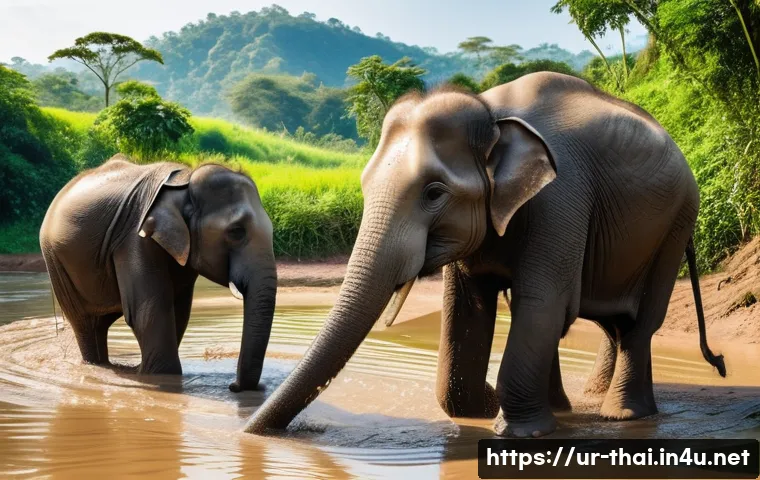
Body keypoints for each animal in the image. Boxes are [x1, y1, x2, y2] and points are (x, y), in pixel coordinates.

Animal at [40, 154, 276, 392]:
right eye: (236, 232)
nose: (233, 386)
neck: (185, 181)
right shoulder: (135, 239)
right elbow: (148, 311)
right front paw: (158, 378)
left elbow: (179, 310)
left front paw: (143, 372)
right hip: (55, 261)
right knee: (85, 324)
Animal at [244, 72, 726, 437]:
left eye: (434, 193)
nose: (247, 433)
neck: (492, 112)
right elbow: (468, 308)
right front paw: (487, 409)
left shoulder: (561, 199)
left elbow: (541, 303)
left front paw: (518, 430)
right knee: (615, 323)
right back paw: (582, 405)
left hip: (679, 220)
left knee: (639, 322)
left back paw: (619, 415)